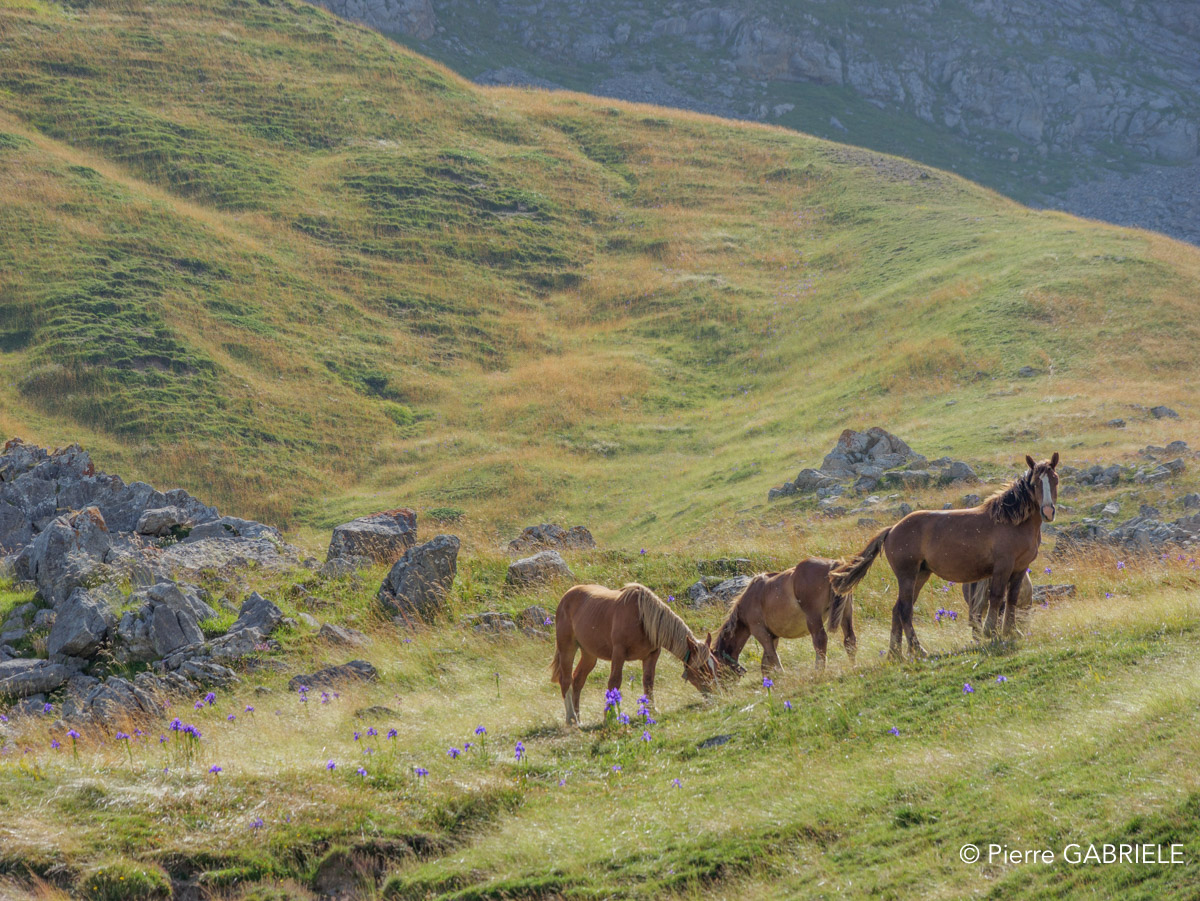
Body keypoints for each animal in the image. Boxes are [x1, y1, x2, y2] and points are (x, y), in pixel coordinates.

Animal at [550, 583, 718, 725]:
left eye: (715, 664)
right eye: (702, 668)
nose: (716, 693)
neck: (642, 618)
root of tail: (566, 596)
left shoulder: (652, 655)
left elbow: (648, 681)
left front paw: (651, 710)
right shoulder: (619, 653)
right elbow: (614, 683)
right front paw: (610, 717)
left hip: (589, 654)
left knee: (578, 680)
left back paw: (579, 719)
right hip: (567, 648)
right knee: (566, 681)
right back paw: (571, 719)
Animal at [713, 558, 855, 677]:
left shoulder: (760, 632)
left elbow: (773, 659)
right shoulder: (773, 637)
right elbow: (766, 664)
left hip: (813, 618)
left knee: (820, 641)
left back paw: (818, 672)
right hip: (846, 613)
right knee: (849, 639)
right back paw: (853, 666)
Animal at [829, 453, 1059, 658]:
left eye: (1054, 479)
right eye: (1035, 483)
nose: (1048, 512)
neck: (1012, 521)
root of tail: (892, 529)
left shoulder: (1019, 568)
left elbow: (1011, 599)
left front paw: (1012, 631)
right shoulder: (1003, 567)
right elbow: (996, 598)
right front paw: (991, 632)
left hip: (921, 575)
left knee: (897, 610)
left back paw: (895, 654)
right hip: (908, 576)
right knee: (904, 610)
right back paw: (918, 649)